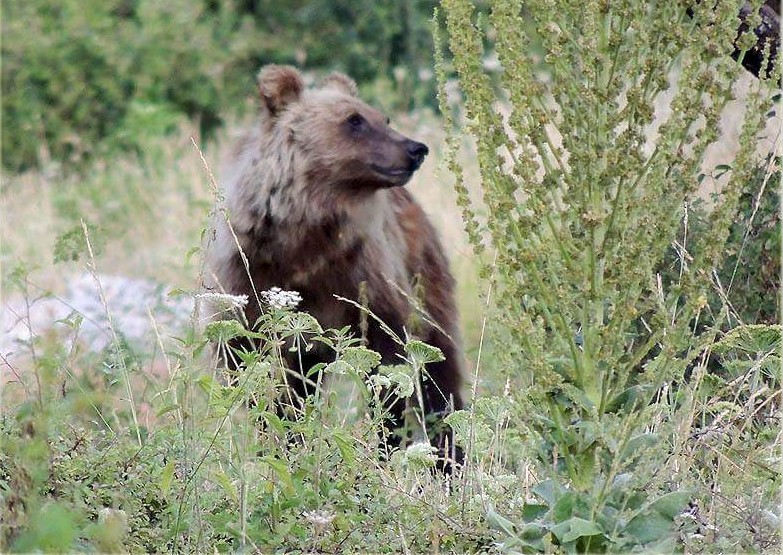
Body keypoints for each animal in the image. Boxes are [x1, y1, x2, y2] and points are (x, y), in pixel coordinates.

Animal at [208, 64, 462, 464]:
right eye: (354, 120)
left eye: (382, 117)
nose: (415, 148)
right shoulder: (247, 276)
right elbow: (250, 362)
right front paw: (278, 438)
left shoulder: (365, 278)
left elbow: (388, 356)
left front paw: (384, 441)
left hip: (426, 277)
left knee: (441, 369)